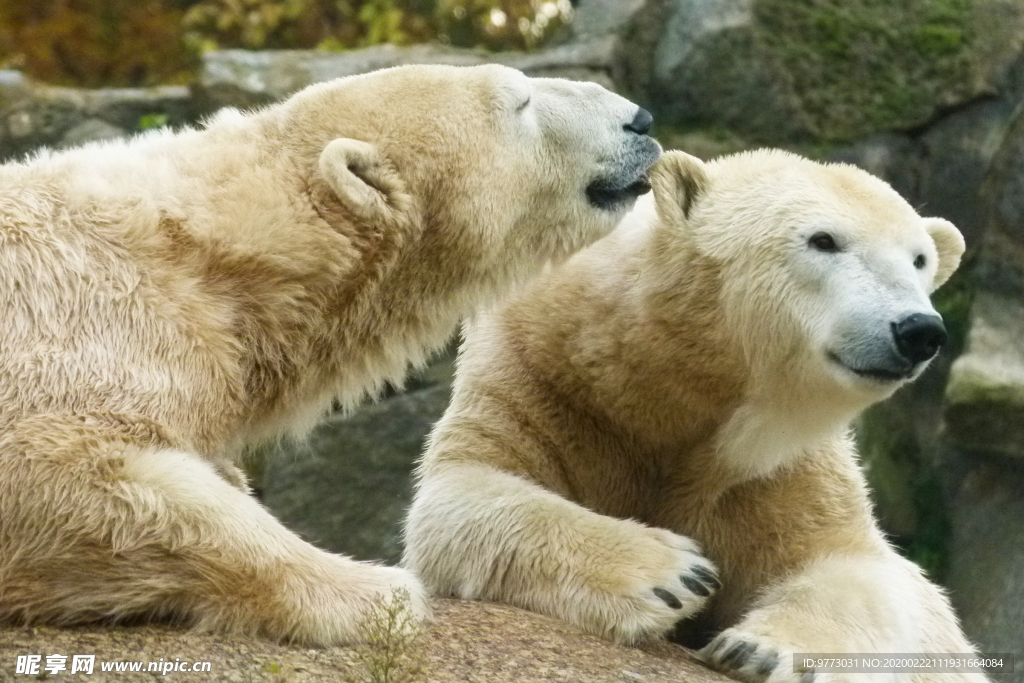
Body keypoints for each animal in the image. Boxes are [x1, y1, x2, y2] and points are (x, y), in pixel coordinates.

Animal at [401, 148, 983, 679]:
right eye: (823, 240)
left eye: (920, 260)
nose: (917, 329)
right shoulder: (539, 378)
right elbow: (464, 496)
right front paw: (675, 576)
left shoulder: (777, 466)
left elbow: (858, 569)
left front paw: (757, 649)